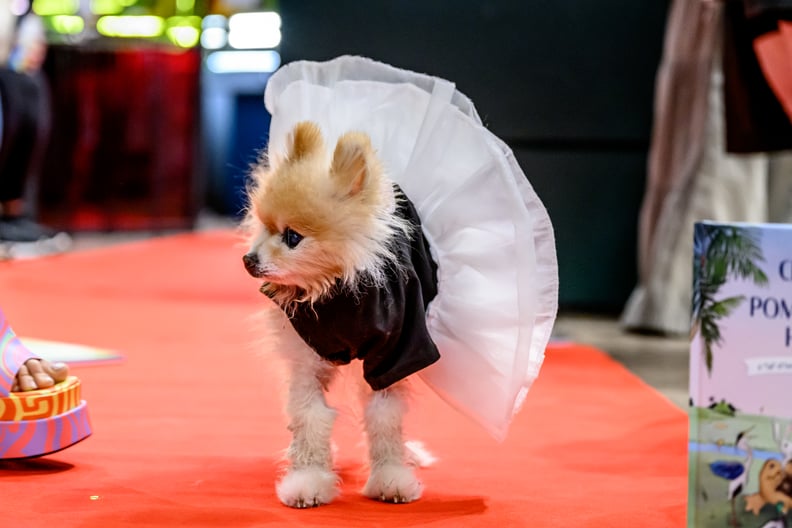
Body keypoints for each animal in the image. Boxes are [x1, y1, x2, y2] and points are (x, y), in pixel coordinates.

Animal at [241, 119, 440, 508]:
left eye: (292, 237)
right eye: (263, 226)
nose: (249, 259)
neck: (337, 294)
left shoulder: (394, 355)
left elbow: (385, 419)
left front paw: (392, 476)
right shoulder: (306, 355)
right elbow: (310, 417)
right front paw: (308, 478)